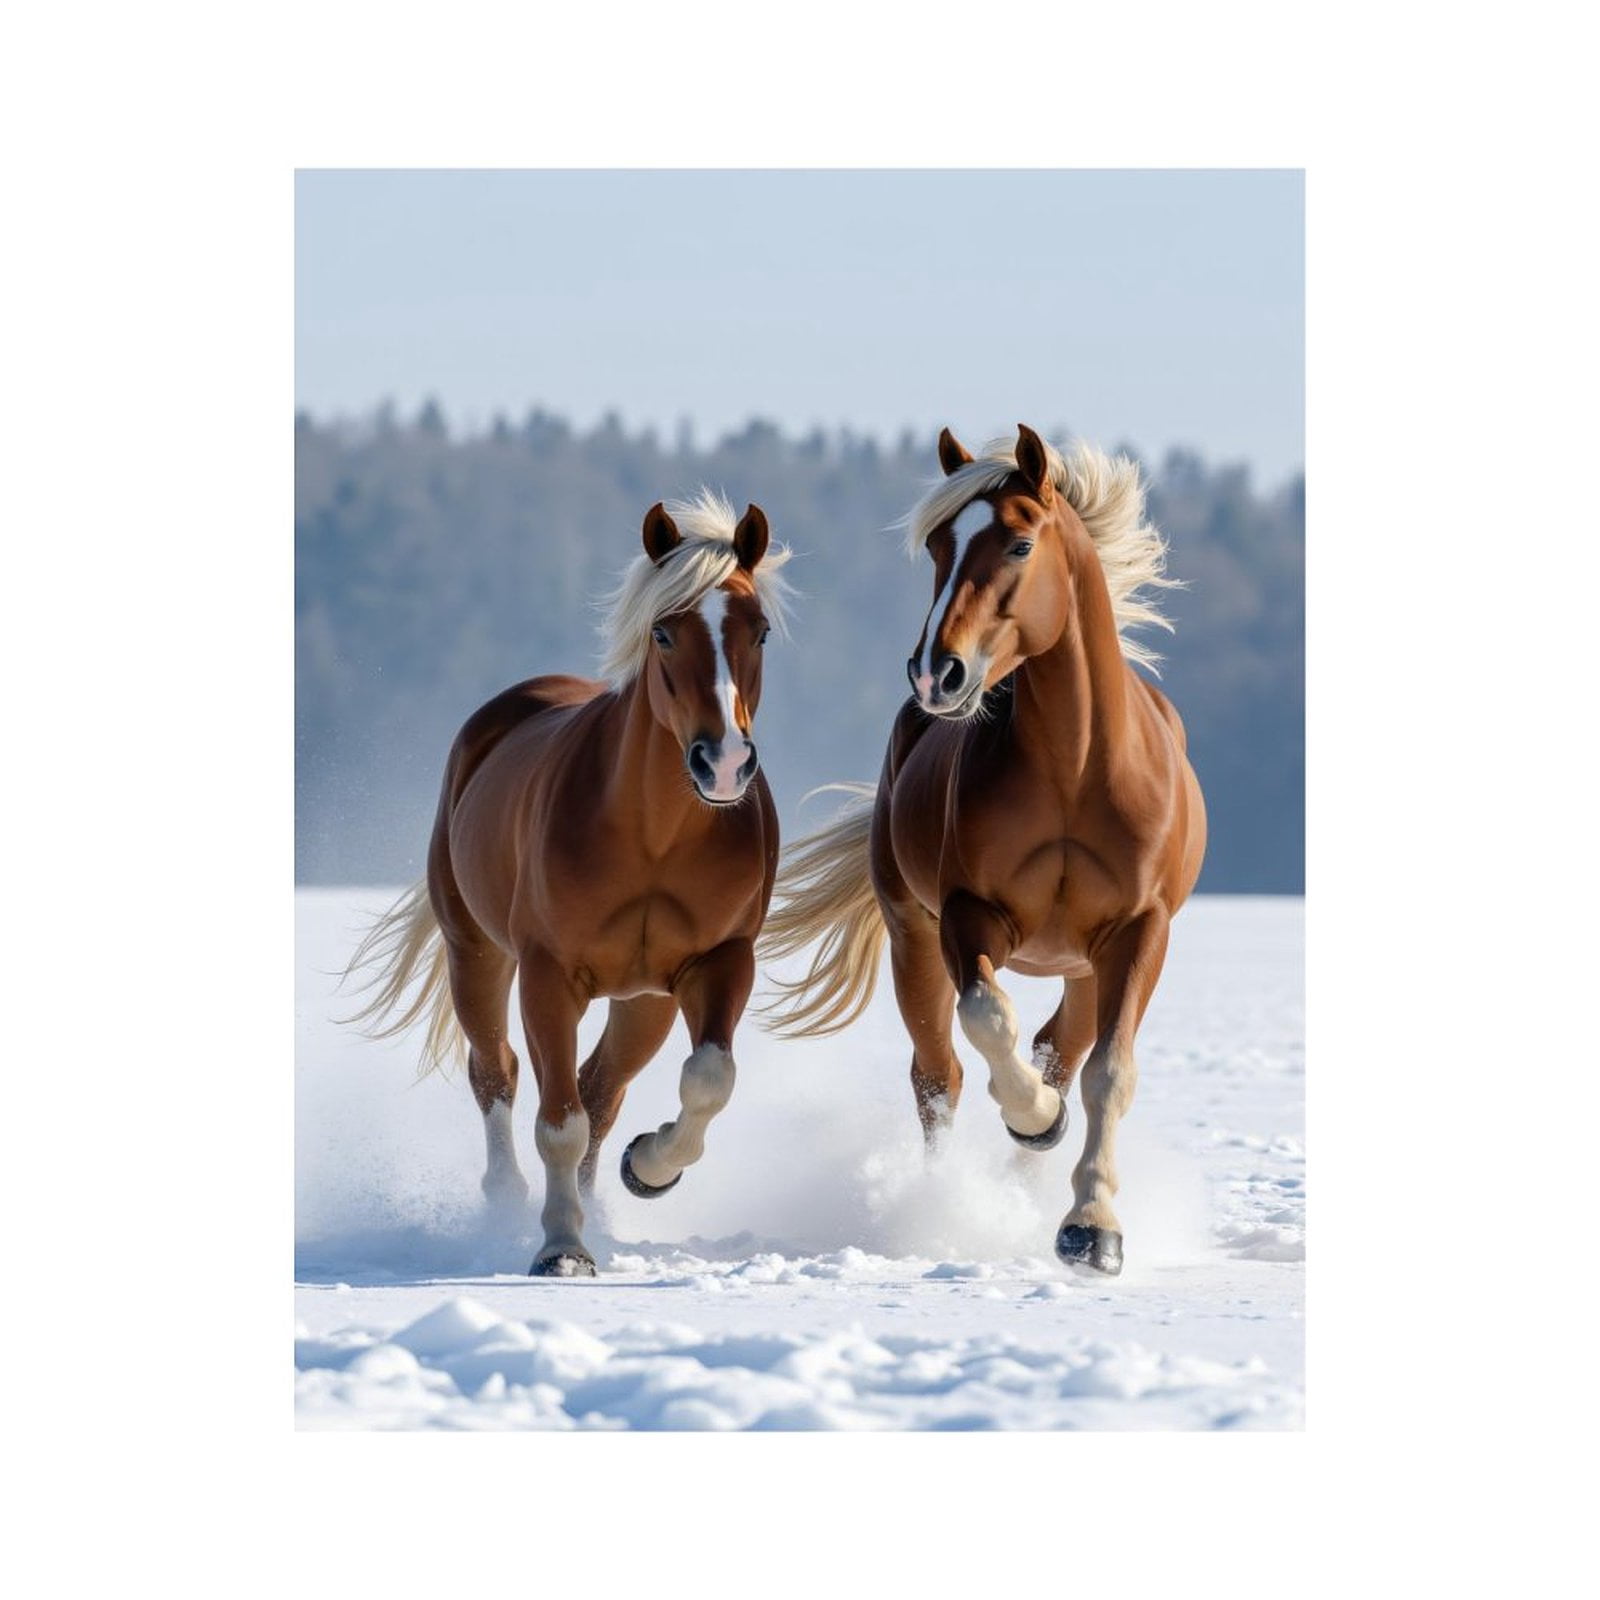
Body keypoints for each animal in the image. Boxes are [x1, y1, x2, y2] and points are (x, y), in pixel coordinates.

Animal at [344, 491, 793, 1276]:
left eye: (759, 631)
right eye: (664, 633)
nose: (725, 764)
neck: (653, 837)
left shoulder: (719, 962)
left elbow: (708, 1079)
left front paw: (648, 1166)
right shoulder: (549, 975)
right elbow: (557, 1123)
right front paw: (560, 1248)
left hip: (643, 1002)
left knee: (601, 1090)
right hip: (477, 956)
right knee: (496, 1071)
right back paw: (506, 1202)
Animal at [761, 425, 1205, 1275]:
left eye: (1021, 543)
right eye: (938, 544)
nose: (937, 672)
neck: (1076, 769)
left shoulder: (1140, 931)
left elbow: (1108, 1072)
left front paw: (1091, 1228)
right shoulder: (969, 917)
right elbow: (987, 1018)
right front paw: (1036, 1118)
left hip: (1082, 966)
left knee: (1061, 1049)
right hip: (913, 937)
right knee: (938, 1075)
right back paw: (946, 1203)